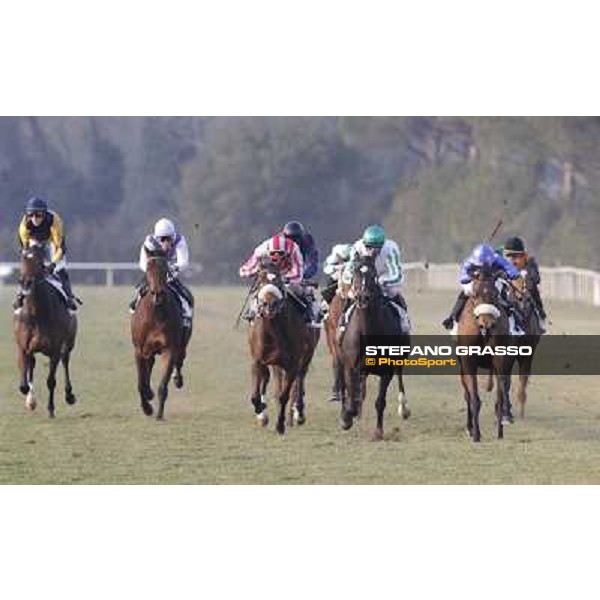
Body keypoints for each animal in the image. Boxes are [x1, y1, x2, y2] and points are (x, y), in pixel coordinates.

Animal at [13, 243, 77, 418]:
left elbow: (51, 381)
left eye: (38, 260)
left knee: (65, 360)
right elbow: (24, 383)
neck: (37, 314)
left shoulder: (54, 350)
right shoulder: (23, 348)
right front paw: (30, 401)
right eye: (22, 259)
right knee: (32, 366)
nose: (25, 282)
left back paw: (69, 395)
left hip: (68, 343)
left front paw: (51, 408)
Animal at [132, 246, 192, 420]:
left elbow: (163, 386)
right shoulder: (139, 350)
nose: (157, 294)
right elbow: (140, 383)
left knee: (180, 360)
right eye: (149, 268)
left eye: (165, 269)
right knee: (149, 365)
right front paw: (147, 408)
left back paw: (177, 379)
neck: (156, 314)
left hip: (182, 345)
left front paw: (158, 414)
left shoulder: (169, 349)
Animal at [458, 268, 512, 440]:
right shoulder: (468, 361)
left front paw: (502, 426)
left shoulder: (500, 358)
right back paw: (470, 428)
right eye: (475, 293)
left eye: (496, 293)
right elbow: (473, 396)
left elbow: (501, 392)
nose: (486, 324)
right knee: (467, 394)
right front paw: (476, 433)